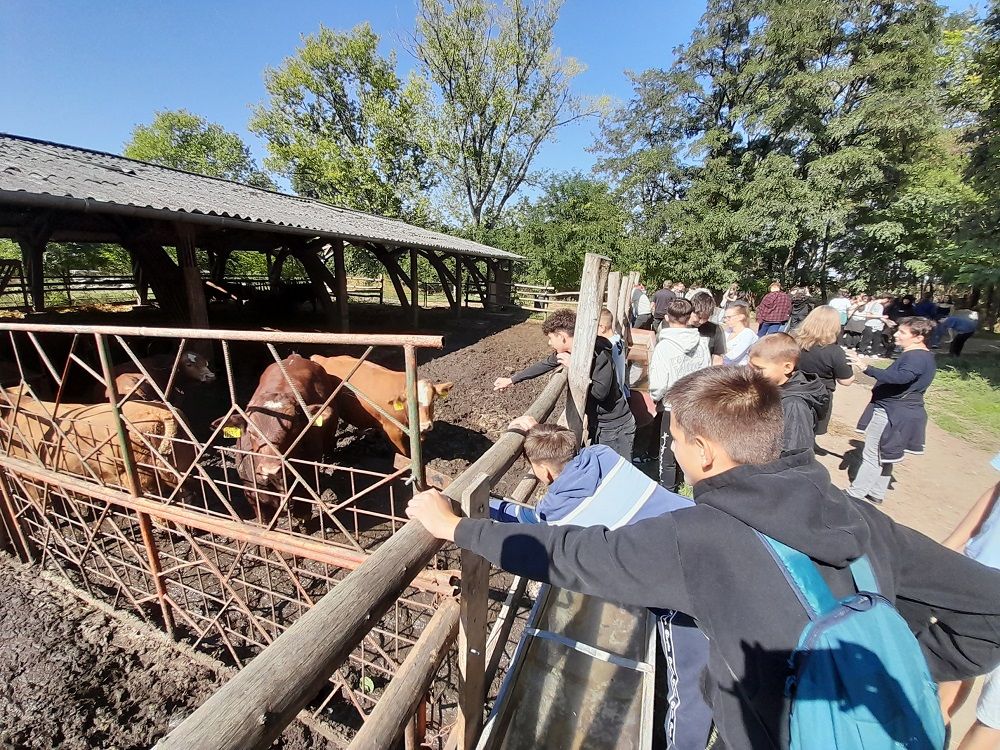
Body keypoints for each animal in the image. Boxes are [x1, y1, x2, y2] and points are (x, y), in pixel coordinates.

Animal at [310, 356, 456, 458]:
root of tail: (322, 358)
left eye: (433, 400)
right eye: (411, 403)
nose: (426, 426)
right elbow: (403, 453)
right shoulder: (393, 430)